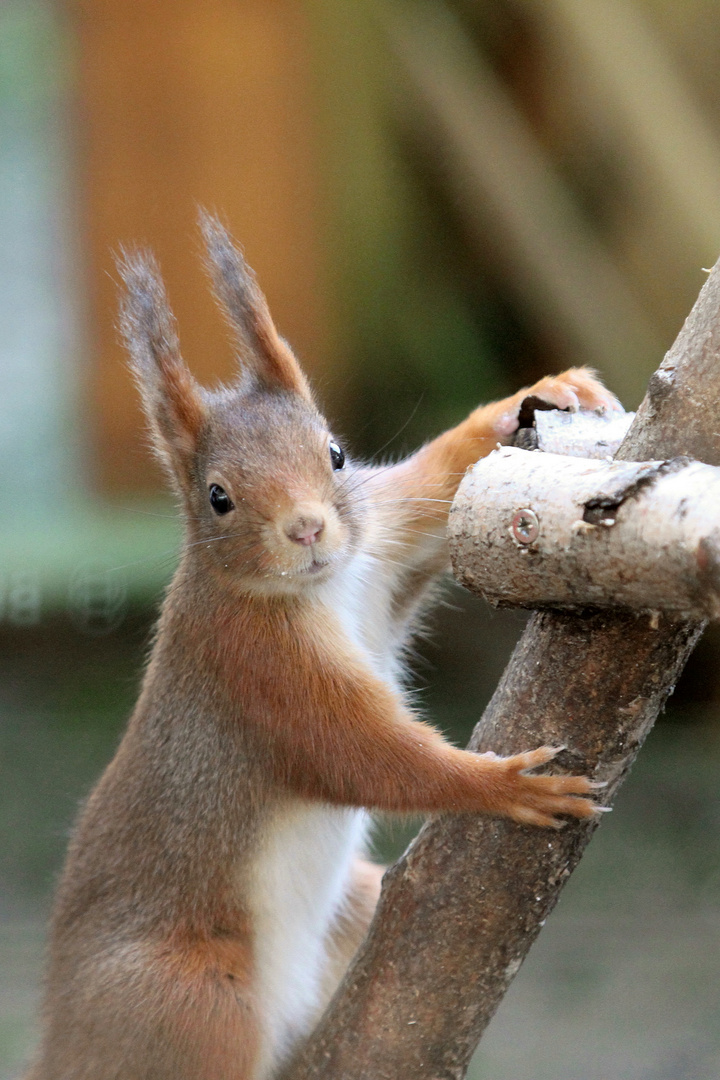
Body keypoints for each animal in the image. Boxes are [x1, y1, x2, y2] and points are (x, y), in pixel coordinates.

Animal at [25, 210, 617, 1080]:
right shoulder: (255, 668)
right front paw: (501, 784)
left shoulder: (385, 544)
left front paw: (532, 398)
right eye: (218, 497)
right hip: (191, 1001)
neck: (320, 588)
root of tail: (64, 1045)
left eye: (335, 453)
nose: (307, 528)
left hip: (350, 907)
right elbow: (360, 752)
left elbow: (432, 485)